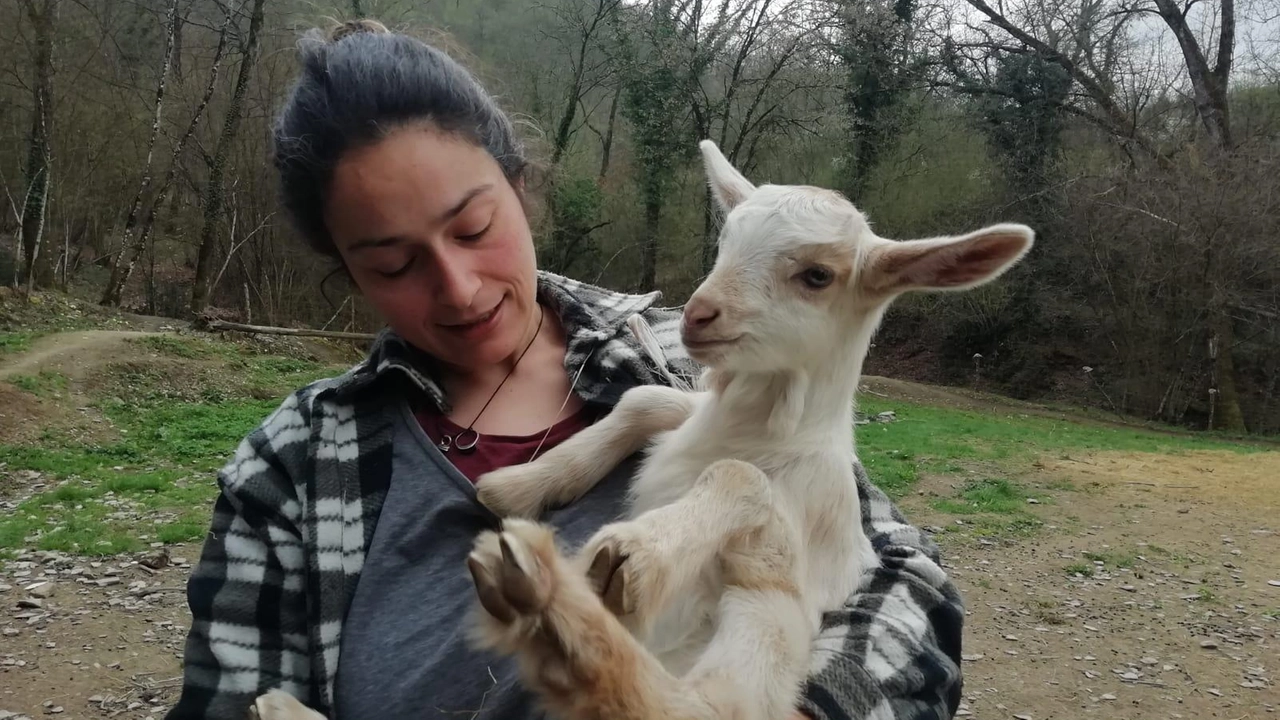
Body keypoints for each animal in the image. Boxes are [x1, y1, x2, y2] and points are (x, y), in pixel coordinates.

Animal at [455, 140, 1034, 717]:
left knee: (711, 703)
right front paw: (522, 483)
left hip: (767, 600)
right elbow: (648, 399)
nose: (697, 315)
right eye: (727, 241)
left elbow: (740, 475)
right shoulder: (689, 416)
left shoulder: (790, 551)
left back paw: (549, 605)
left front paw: (639, 552)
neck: (763, 433)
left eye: (818, 275)